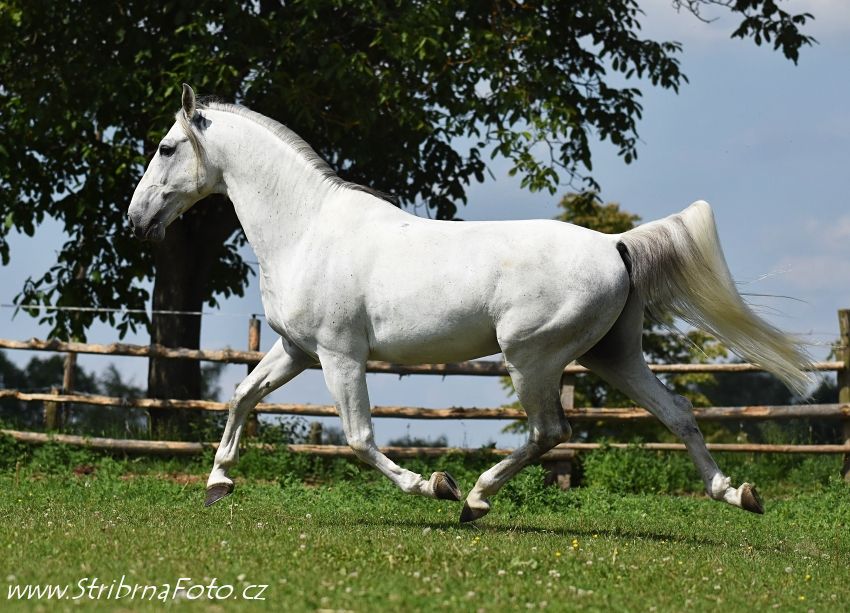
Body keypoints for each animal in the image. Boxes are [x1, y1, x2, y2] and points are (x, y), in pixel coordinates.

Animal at [129, 84, 811, 521]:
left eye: (166, 148)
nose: (137, 220)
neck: (307, 230)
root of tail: (616, 245)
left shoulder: (339, 355)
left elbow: (357, 437)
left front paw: (434, 484)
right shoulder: (296, 349)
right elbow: (243, 397)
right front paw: (218, 484)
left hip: (532, 357)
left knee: (551, 430)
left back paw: (476, 499)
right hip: (610, 357)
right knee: (676, 414)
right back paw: (736, 494)